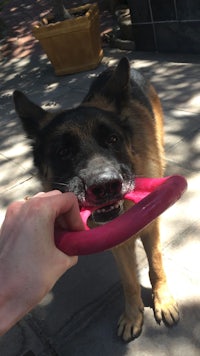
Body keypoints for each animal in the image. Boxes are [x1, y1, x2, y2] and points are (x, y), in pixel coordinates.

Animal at [14, 57, 180, 340]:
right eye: (63, 151)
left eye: (113, 139)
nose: (105, 186)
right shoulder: (117, 239)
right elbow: (128, 280)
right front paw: (133, 314)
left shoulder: (150, 227)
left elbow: (156, 264)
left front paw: (163, 301)